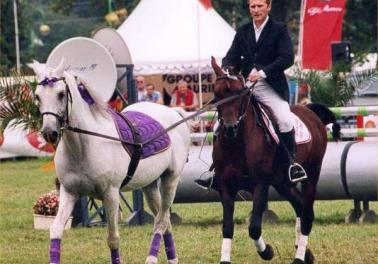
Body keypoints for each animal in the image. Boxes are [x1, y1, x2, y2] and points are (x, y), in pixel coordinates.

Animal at [31, 59, 192, 264]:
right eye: (37, 96)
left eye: (61, 94)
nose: (49, 133)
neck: (84, 146)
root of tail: (173, 113)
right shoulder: (69, 193)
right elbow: (56, 230)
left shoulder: (111, 195)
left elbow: (113, 238)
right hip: (149, 186)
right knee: (165, 223)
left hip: (170, 181)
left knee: (161, 222)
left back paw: (152, 258)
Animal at [210, 58, 340, 264]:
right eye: (217, 93)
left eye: (240, 93)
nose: (230, 129)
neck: (237, 142)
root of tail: (309, 111)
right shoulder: (225, 185)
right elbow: (227, 227)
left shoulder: (260, 184)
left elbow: (254, 227)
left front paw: (267, 252)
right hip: (282, 182)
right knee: (300, 206)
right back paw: (305, 253)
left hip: (312, 173)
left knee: (307, 213)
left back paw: (299, 258)